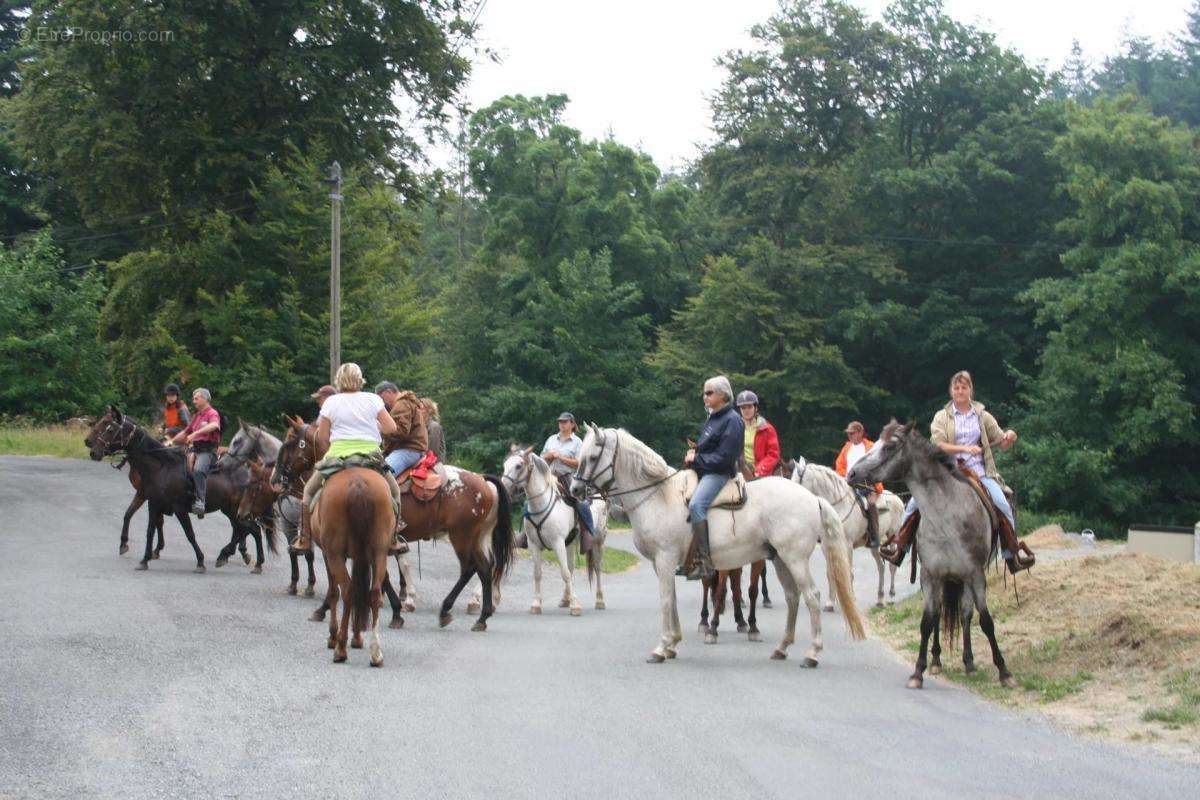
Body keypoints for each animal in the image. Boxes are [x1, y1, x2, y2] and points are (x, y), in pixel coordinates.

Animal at [272, 419, 516, 633]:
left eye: (290, 443)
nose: (275, 478)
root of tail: (483, 481)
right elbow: (384, 574)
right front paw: (395, 609)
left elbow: (343, 576)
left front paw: (324, 609)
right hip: (477, 537)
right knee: (485, 568)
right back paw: (482, 617)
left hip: (461, 536)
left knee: (469, 568)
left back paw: (446, 611)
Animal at [499, 448, 609, 618]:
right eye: (505, 465)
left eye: (519, 466)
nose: (503, 487)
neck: (541, 505)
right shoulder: (534, 545)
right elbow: (538, 573)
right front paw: (536, 604)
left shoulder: (558, 543)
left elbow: (565, 573)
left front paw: (575, 605)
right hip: (570, 543)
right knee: (571, 567)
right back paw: (565, 599)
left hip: (598, 541)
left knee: (597, 568)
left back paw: (599, 601)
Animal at [568, 429, 864, 666]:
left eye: (592, 457)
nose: (575, 490)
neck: (659, 496)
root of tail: (812, 498)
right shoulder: (662, 564)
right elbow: (673, 599)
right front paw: (673, 643)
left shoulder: (664, 560)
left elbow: (665, 600)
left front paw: (662, 647)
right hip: (781, 559)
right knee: (793, 597)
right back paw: (782, 648)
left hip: (795, 560)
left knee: (812, 596)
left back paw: (812, 653)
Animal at [787, 455, 902, 606]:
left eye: (797, 483)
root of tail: (897, 498)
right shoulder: (826, 545)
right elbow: (830, 573)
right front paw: (830, 602)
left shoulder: (847, 544)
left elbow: (849, 573)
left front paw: (851, 599)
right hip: (875, 545)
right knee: (881, 567)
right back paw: (880, 597)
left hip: (893, 535)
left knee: (891, 565)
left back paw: (891, 594)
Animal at [849, 419, 1017, 690]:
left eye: (890, 447)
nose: (852, 474)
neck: (946, 515)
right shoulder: (930, 575)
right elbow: (927, 621)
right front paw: (918, 672)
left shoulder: (975, 574)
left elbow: (985, 621)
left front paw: (1004, 671)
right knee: (939, 614)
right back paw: (937, 660)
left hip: (963, 579)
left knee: (966, 614)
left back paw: (969, 662)